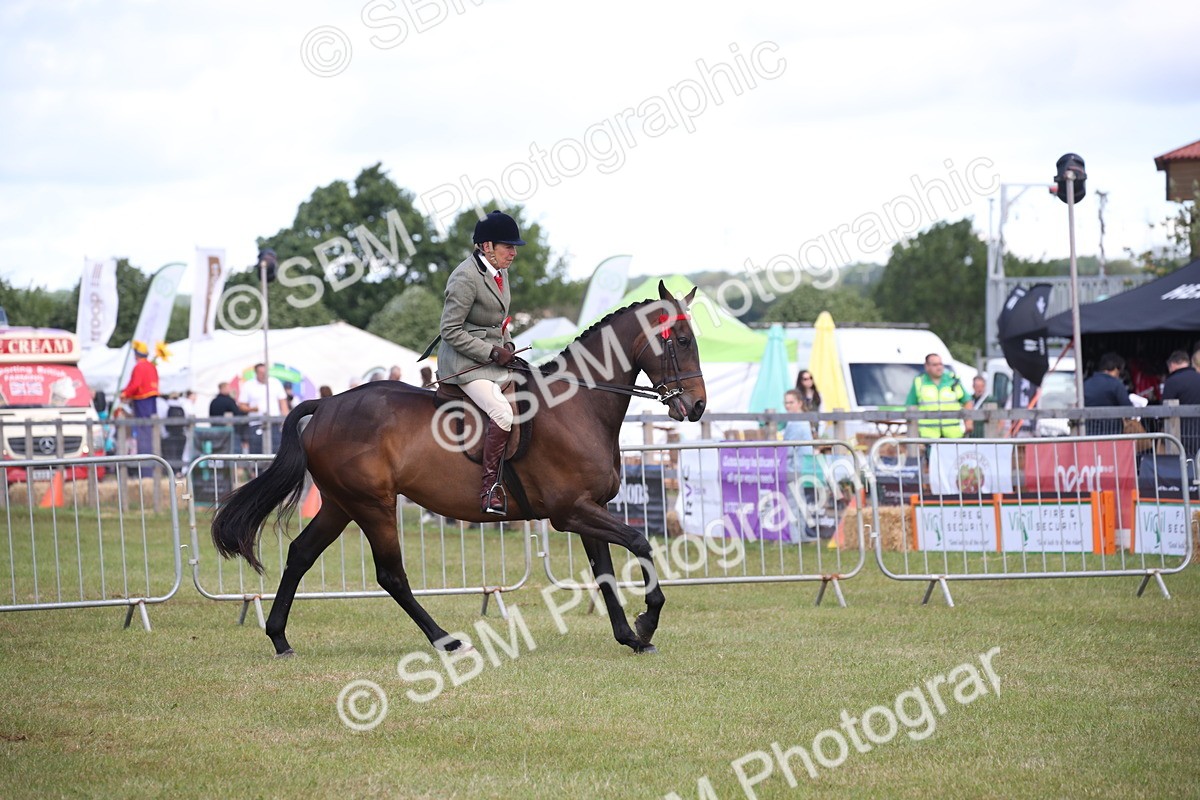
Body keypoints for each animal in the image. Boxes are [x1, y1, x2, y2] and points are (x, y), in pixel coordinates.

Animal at [211, 281, 707, 656]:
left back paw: (280, 638)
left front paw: (629, 636)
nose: (698, 407)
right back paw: (446, 640)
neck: (578, 404)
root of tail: (327, 405)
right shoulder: (571, 512)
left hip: (340, 504)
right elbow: (641, 542)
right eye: (682, 341)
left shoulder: (591, 508)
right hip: (372, 505)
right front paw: (647, 622)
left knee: (300, 554)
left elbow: (604, 571)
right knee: (390, 575)